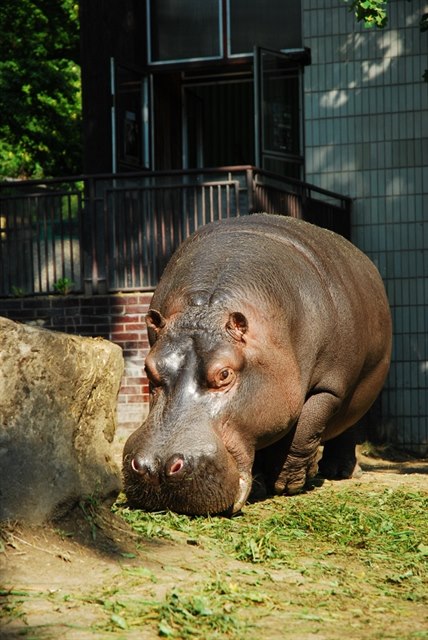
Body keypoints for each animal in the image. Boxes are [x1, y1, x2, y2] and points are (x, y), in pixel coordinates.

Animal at [123, 215, 392, 516]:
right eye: (148, 369)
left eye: (224, 373)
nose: (156, 467)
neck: (206, 311)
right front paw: (264, 485)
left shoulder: (329, 389)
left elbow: (305, 429)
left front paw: (288, 484)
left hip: (362, 389)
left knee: (349, 426)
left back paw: (341, 471)